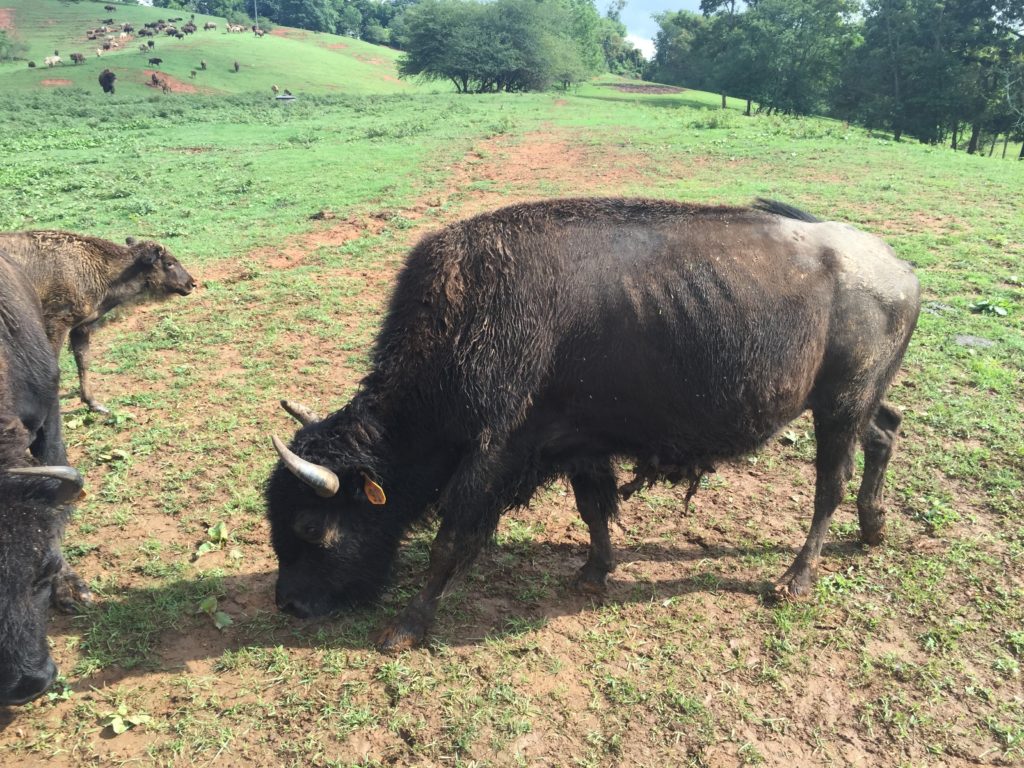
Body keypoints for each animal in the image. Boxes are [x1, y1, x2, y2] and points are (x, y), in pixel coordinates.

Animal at [0, 233, 195, 415]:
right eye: (169, 263)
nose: (191, 283)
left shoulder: (80, 327)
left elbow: (83, 360)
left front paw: (95, 404)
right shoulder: (57, 324)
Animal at [268, 196, 925, 651]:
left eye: (311, 527)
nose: (289, 606)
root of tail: (901, 268)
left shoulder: (494, 456)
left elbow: (450, 541)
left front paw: (402, 631)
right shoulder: (579, 444)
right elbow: (593, 508)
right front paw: (593, 573)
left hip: (838, 408)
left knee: (828, 486)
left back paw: (793, 580)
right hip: (852, 404)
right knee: (886, 431)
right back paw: (874, 529)